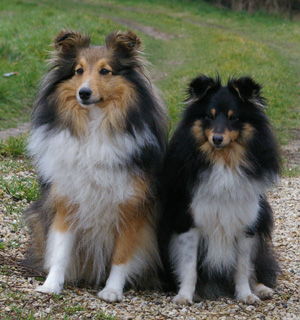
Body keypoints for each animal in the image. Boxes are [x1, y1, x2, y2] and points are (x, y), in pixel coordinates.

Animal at [23, 28, 168, 302]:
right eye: (79, 70)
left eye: (105, 71)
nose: (84, 93)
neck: (94, 125)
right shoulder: (68, 198)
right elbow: (60, 248)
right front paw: (51, 285)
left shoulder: (132, 207)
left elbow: (122, 255)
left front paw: (112, 291)